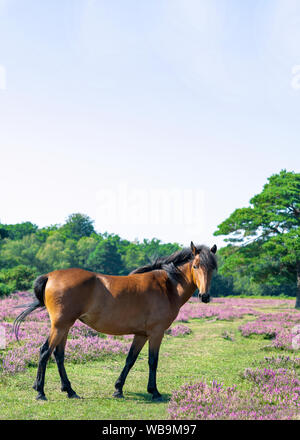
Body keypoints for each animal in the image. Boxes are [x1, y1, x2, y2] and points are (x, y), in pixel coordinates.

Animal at [12, 241, 217, 402]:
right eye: (196, 266)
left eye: (212, 268)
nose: (205, 296)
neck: (167, 286)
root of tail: (51, 276)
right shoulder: (156, 333)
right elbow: (153, 361)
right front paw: (155, 392)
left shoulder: (141, 334)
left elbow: (130, 359)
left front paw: (118, 389)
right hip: (60, 326)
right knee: (45, 351)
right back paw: (40, 392)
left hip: (65, 326)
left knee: (58, 355)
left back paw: (70, 391)